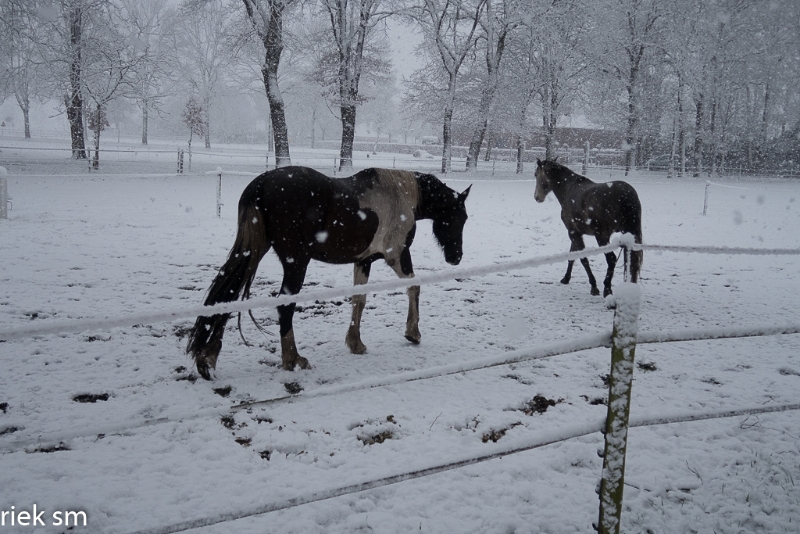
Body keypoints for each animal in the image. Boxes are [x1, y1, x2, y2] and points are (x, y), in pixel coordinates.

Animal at [187, 168, 468, 382]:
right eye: (460, 216)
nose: (456, 257)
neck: (400, 193)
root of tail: (262, 183)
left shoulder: (363, 261)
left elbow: (359, 300)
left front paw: (356, 343)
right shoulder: (397, 256)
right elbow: (415, 287)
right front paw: (413, 333)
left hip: (253, 251)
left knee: (228, 293)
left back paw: (207, 358)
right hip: (295, 264)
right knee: (284, 306)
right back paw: (293, 359)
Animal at [536, 161, 640, 300]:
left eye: (536, 174)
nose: (537, 197)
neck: (568, 189)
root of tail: (625, 194)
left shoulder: (573, 232)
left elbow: (583, 259)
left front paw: (594, 287)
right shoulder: (576, 233)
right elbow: (572, 256)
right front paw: (566, 278)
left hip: (602, 237)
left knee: (611, 259)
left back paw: (607, 289)